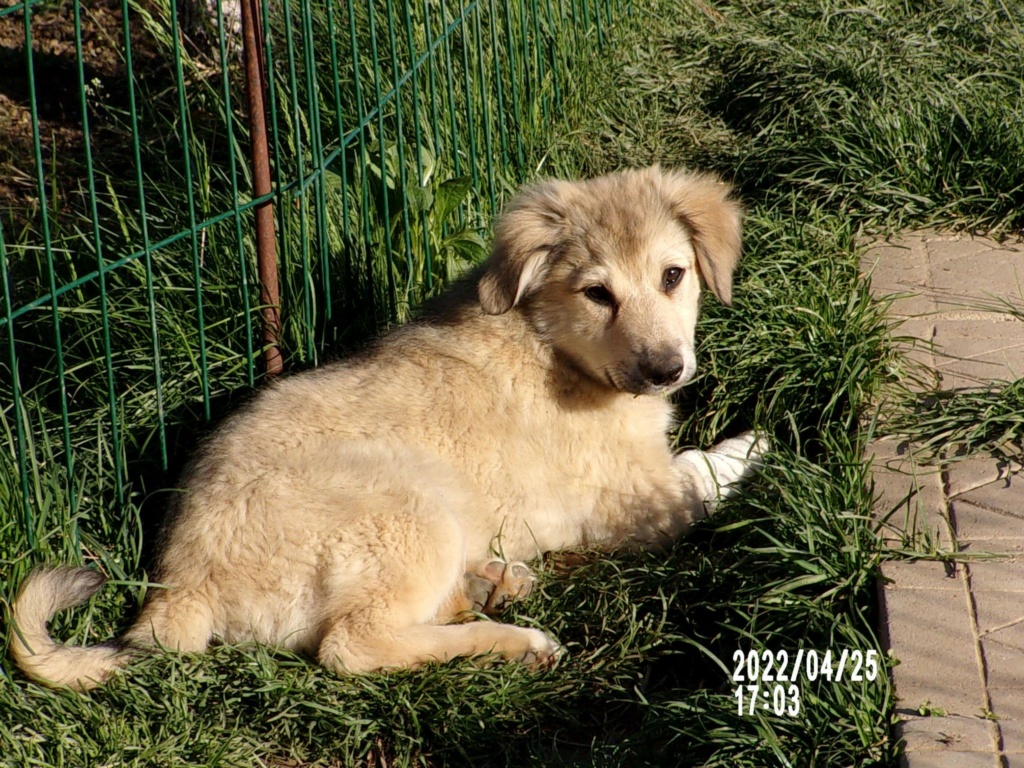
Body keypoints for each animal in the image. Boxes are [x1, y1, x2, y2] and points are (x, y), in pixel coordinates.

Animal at [9, 163, 761, 692]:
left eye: (673, 276)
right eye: (598, 293)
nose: (666, 369)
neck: (554, 344)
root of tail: (178, 585)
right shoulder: (643, 499)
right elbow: (702, 470)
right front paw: (755, 446)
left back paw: (495, 583)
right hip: (409, 506)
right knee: (353, 646)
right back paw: (517, 642)